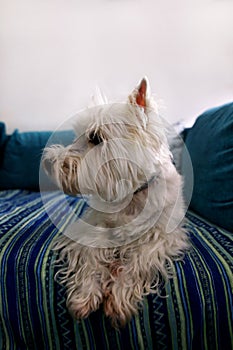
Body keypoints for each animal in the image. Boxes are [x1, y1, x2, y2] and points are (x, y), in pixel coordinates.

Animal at [42, 78, 189, 326]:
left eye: (95, 138)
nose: (49, 163)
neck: (132, 196)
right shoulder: (92, 225)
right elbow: (90, 256)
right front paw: (85, 296)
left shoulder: (164, 237)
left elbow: (139, 261)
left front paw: (119, 300)